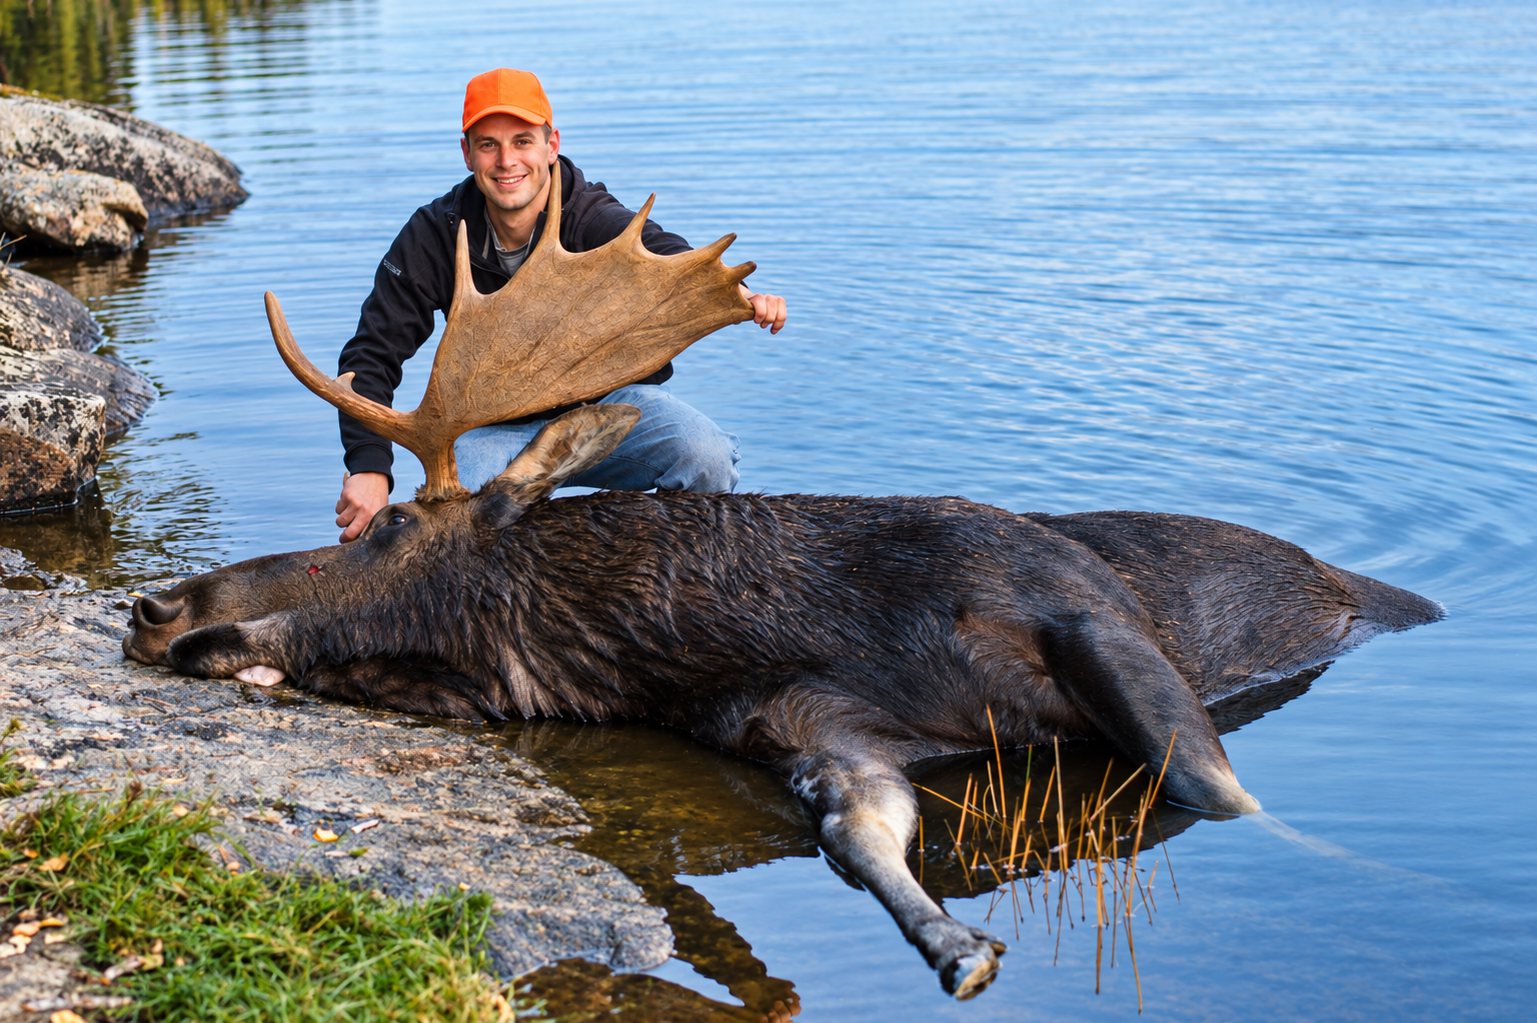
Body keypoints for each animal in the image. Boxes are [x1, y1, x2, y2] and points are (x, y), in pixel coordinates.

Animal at [122, 166, 1442, 1000]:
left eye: (386, 527)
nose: (157, 605)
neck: (729, 627)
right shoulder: (816, 726)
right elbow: (856, 835)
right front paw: (954, 943)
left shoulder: (1075, 602)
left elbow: (1220, 793)